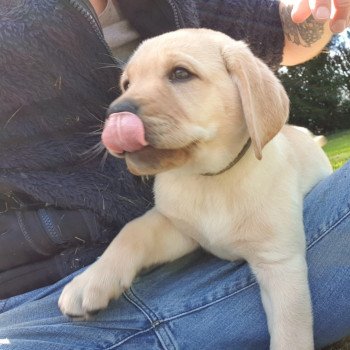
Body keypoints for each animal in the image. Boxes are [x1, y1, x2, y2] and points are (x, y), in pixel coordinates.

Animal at [58, 28, 332, 348]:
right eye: (127, 84)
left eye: (180, 73)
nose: (115, 114)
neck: (208, 178)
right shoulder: (178, 228)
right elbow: (132, 231)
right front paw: (90, 281)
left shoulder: (280, 262)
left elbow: (291, 333)